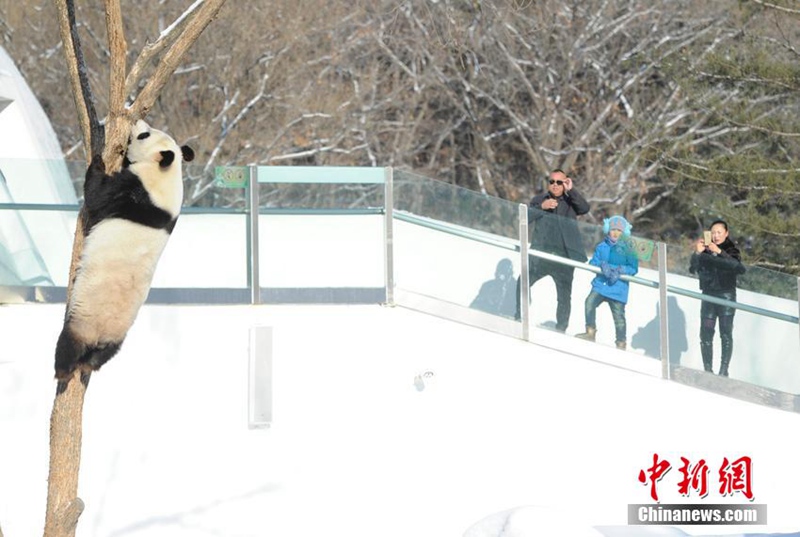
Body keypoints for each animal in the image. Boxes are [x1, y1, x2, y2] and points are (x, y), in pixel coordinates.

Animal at [54, 119, 195, 380]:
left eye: (144, 135)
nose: (137, 122)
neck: (167, 173)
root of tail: (102, 335)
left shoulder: (138, 190)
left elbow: (97, 197)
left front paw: (98, 162)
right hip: (118, 335)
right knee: (107, 354)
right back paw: (89, 364)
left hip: (85, 317)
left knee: (69, 342)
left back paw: (63, 370)